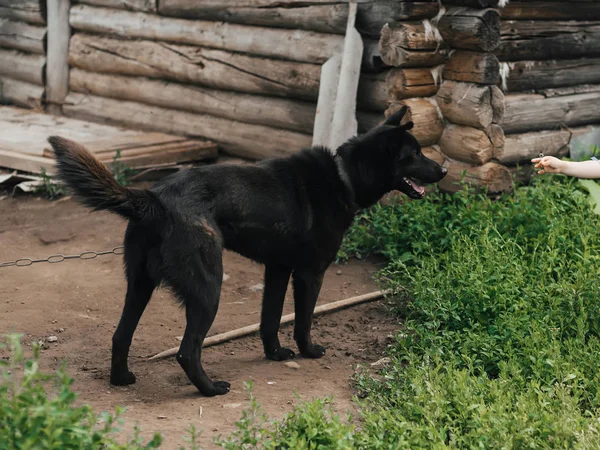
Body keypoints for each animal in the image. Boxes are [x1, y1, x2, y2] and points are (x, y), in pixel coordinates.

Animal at [48, 107, 446, 396]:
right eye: (415, 154)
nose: (443, 169)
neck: (343, 175)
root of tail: (153, 199)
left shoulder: (278, 270)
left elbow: (270, 319)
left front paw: (275, 354)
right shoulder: (310, 274)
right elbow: (303, 320)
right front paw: (308, 351)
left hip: (140, 285)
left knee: (120, 335)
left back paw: (122, 379)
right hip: (208, 289)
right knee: (187, 351)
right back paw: (210, 389)